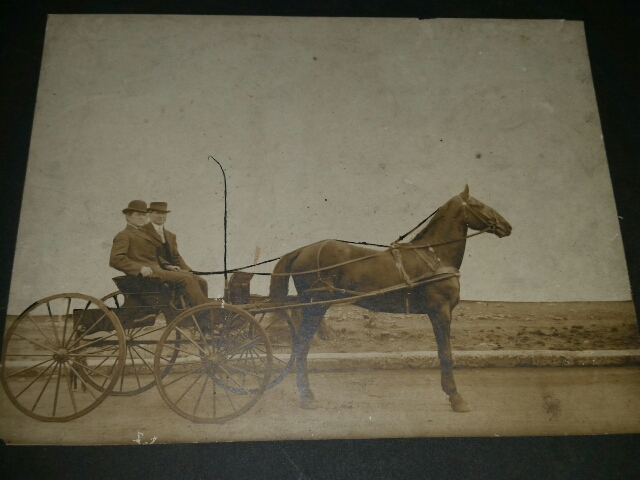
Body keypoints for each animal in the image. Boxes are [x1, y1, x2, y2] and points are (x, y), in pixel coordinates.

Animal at [268, 185, 512, 412]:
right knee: (302, 345)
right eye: (478, 204)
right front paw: (455, 397)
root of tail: (302, 250)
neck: (434, 255)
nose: (507, 226)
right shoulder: (441, 311)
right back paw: (307, 396)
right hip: (315, 307)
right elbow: (446, 353)